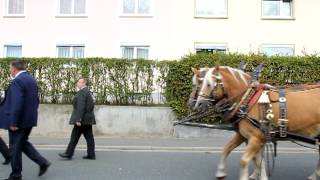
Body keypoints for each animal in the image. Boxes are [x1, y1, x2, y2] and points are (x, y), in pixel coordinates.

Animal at [192, 66, 320, 180]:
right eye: (200, 83)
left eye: (209, 84)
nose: (198, 104)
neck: (247, 99)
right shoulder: (244, 135)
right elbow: (230, 149)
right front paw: (221, 172)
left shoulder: (257, 138)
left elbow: (245, 161)